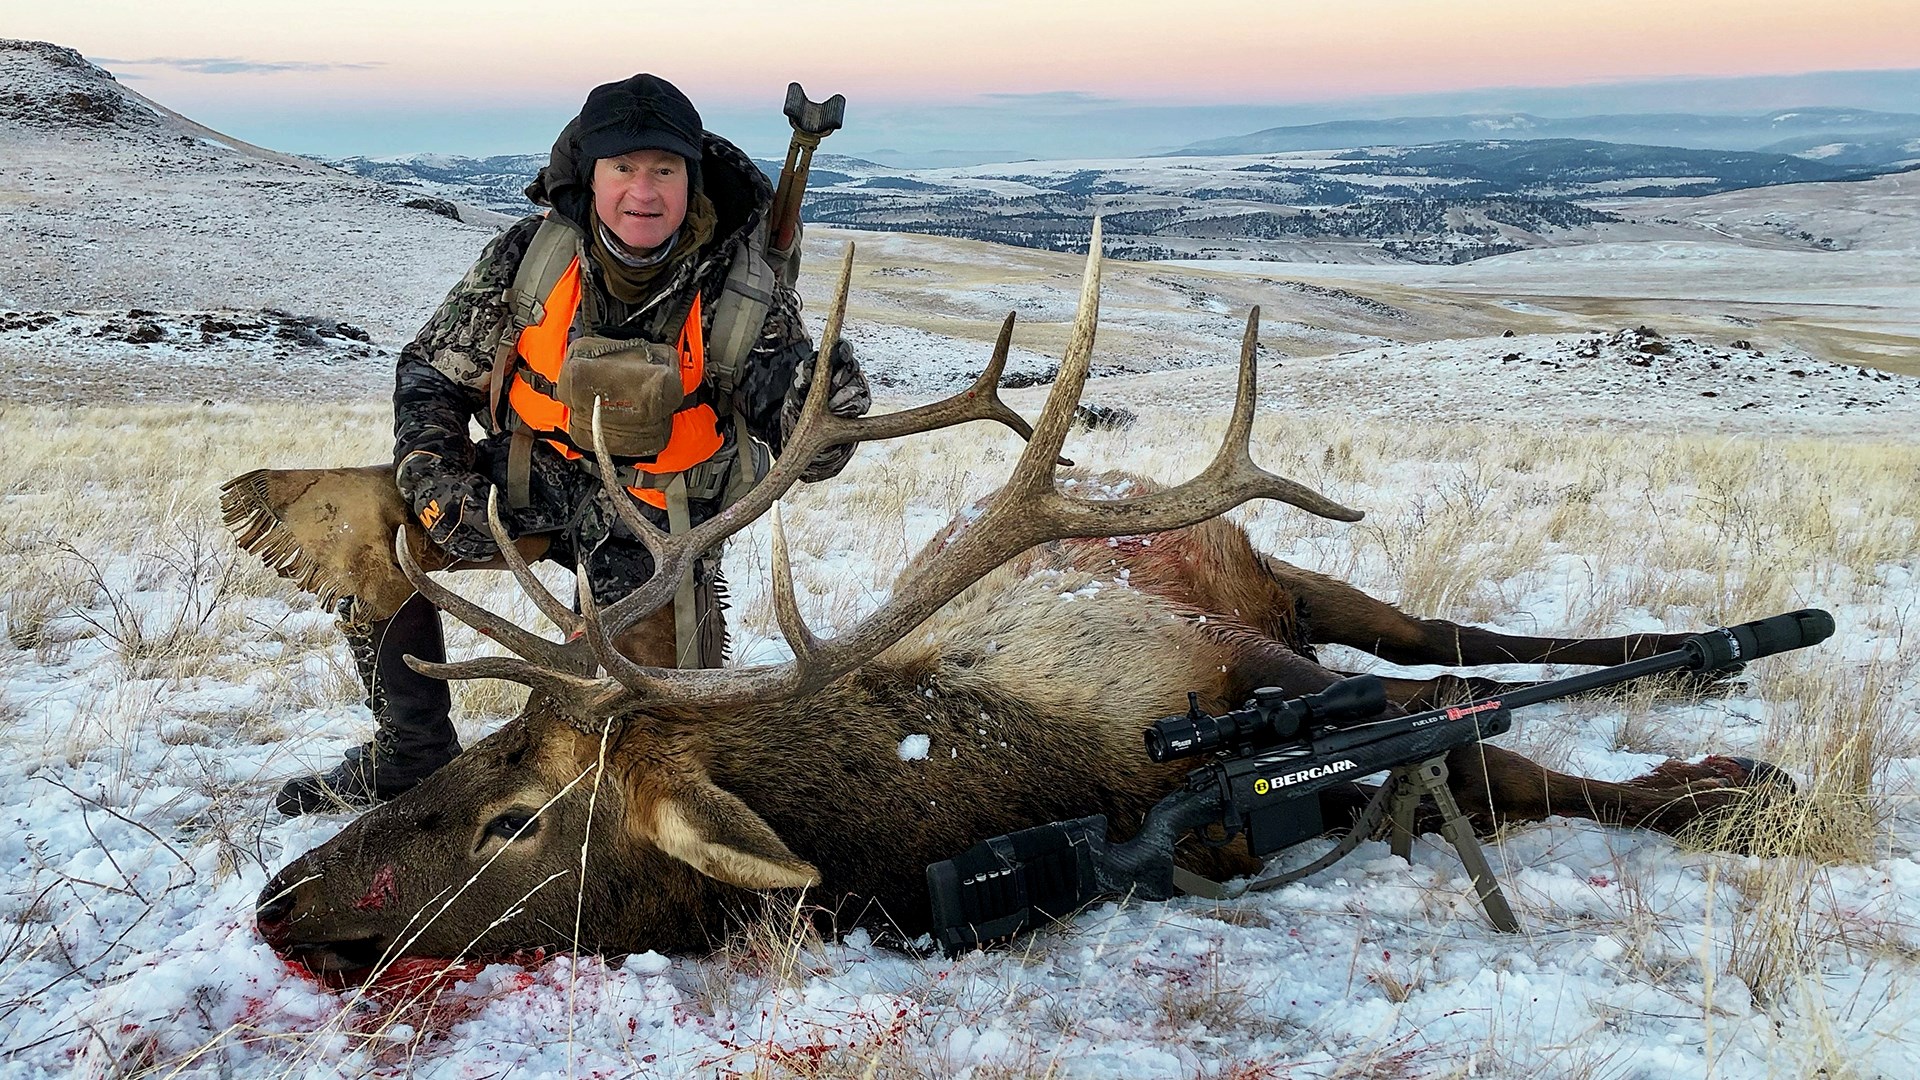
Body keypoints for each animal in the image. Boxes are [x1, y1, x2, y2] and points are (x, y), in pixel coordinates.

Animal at [253, 229, 1788, 977]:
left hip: (1276, 568)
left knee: (1452, 639)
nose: (277, 899)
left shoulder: (1244, 670)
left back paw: (1702, 656)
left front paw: (1728, 785)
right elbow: (1473, 759)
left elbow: (1494, 746)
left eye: (517, 816)